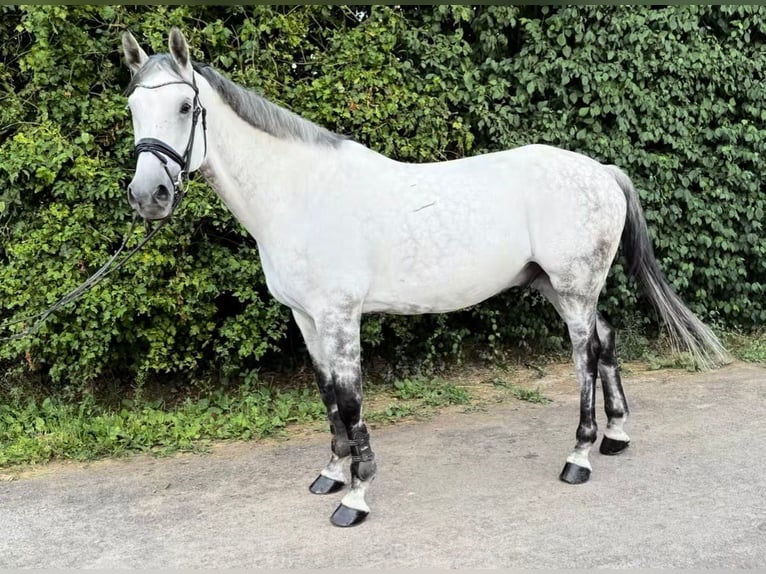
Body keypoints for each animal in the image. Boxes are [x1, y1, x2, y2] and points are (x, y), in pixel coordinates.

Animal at [121, 28, 728, 527]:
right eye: (132, 107)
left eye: (184, 105)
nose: (149, 196)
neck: (302, 194)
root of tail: (600, 171)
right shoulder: (306, 318)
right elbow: (326, 393)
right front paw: (332, 474)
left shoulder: (340, 317)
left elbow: (351, 399)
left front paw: (356, 496)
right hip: (559, 287)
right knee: (605, 339)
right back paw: (616, 437)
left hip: (575, 288)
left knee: (585, 354)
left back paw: (578, 457)